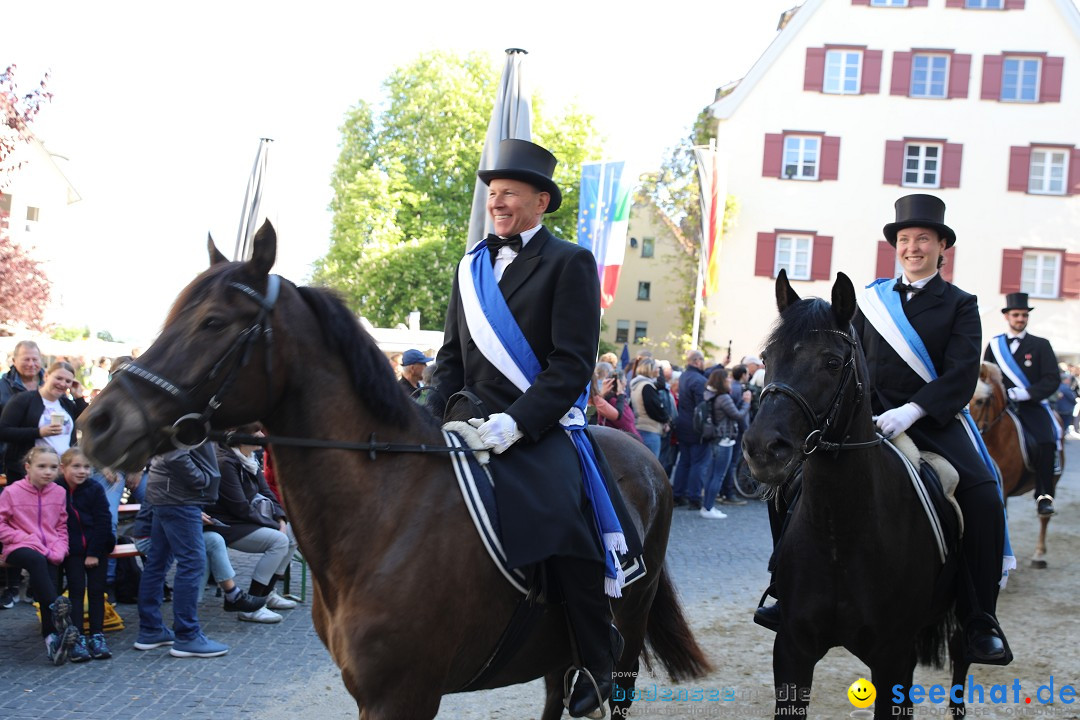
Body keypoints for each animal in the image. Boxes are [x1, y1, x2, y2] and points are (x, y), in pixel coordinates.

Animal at [76, 221, 708, 720]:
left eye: (212, 322)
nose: (98, 423)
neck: (384, 514)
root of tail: (645, 459)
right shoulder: (371, 695)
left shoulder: (404, 695)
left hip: (623, 641)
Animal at [743, 272, 972, 720]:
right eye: (765, 357)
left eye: (832, 362)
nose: (762, 448)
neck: (840, 533)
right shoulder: (792, 649)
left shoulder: (894, 659)